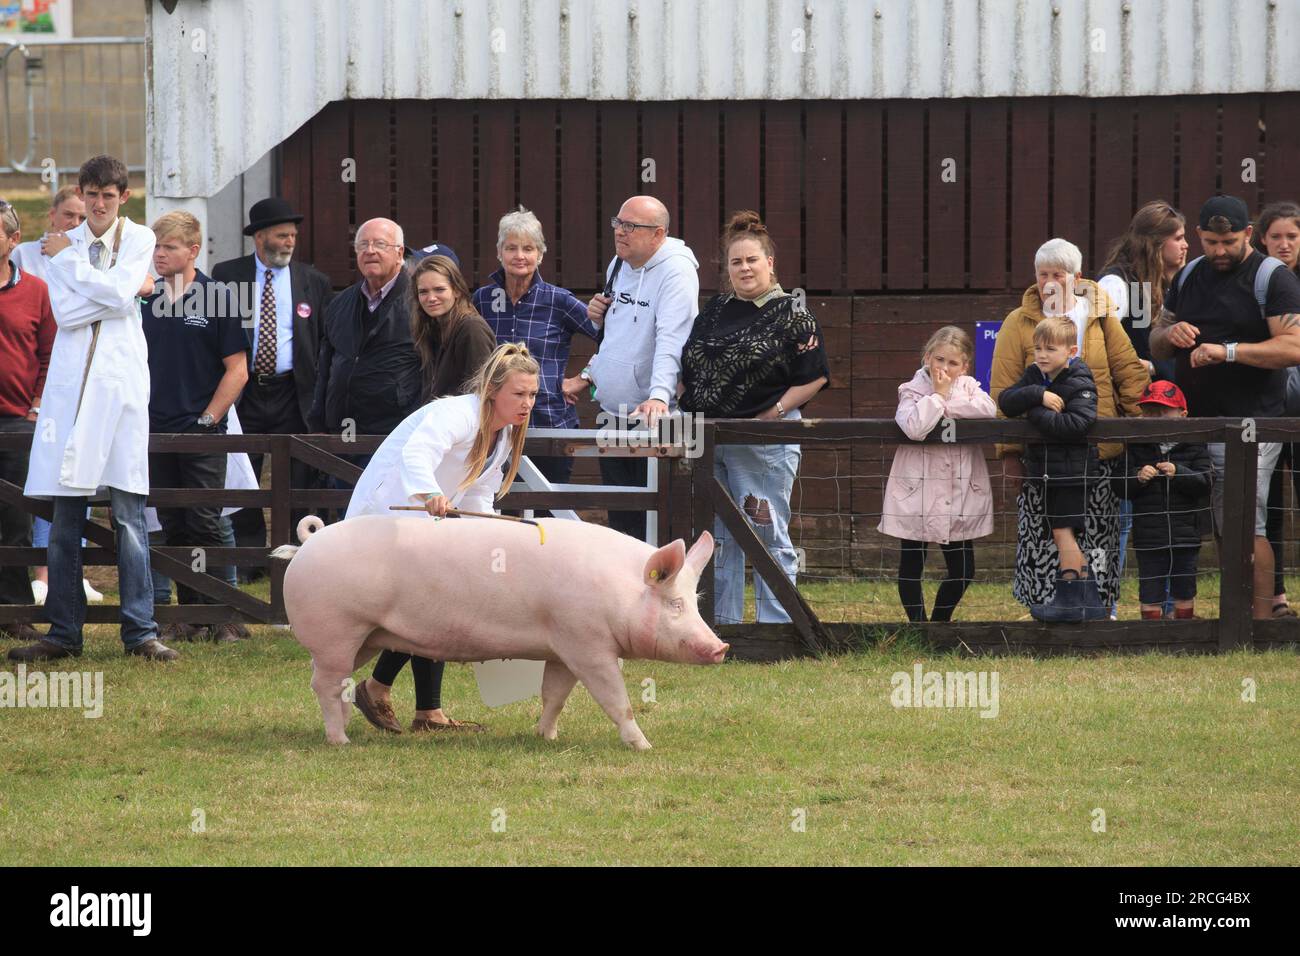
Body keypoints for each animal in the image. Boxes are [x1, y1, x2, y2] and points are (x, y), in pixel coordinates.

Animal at [273, 515, 728, 749]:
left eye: (695, 599)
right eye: (675, 604)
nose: (721, 647)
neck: (619, 591)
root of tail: (305, 546)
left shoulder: (562, 647)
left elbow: (554, 696)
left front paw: (547, 737)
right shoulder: (588, 644)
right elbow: (617, 701)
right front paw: (644, 746)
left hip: (363, 638)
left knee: (336, 683)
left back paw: (349, 727)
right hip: (337, 629)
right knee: (325, 685)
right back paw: (340, 741)